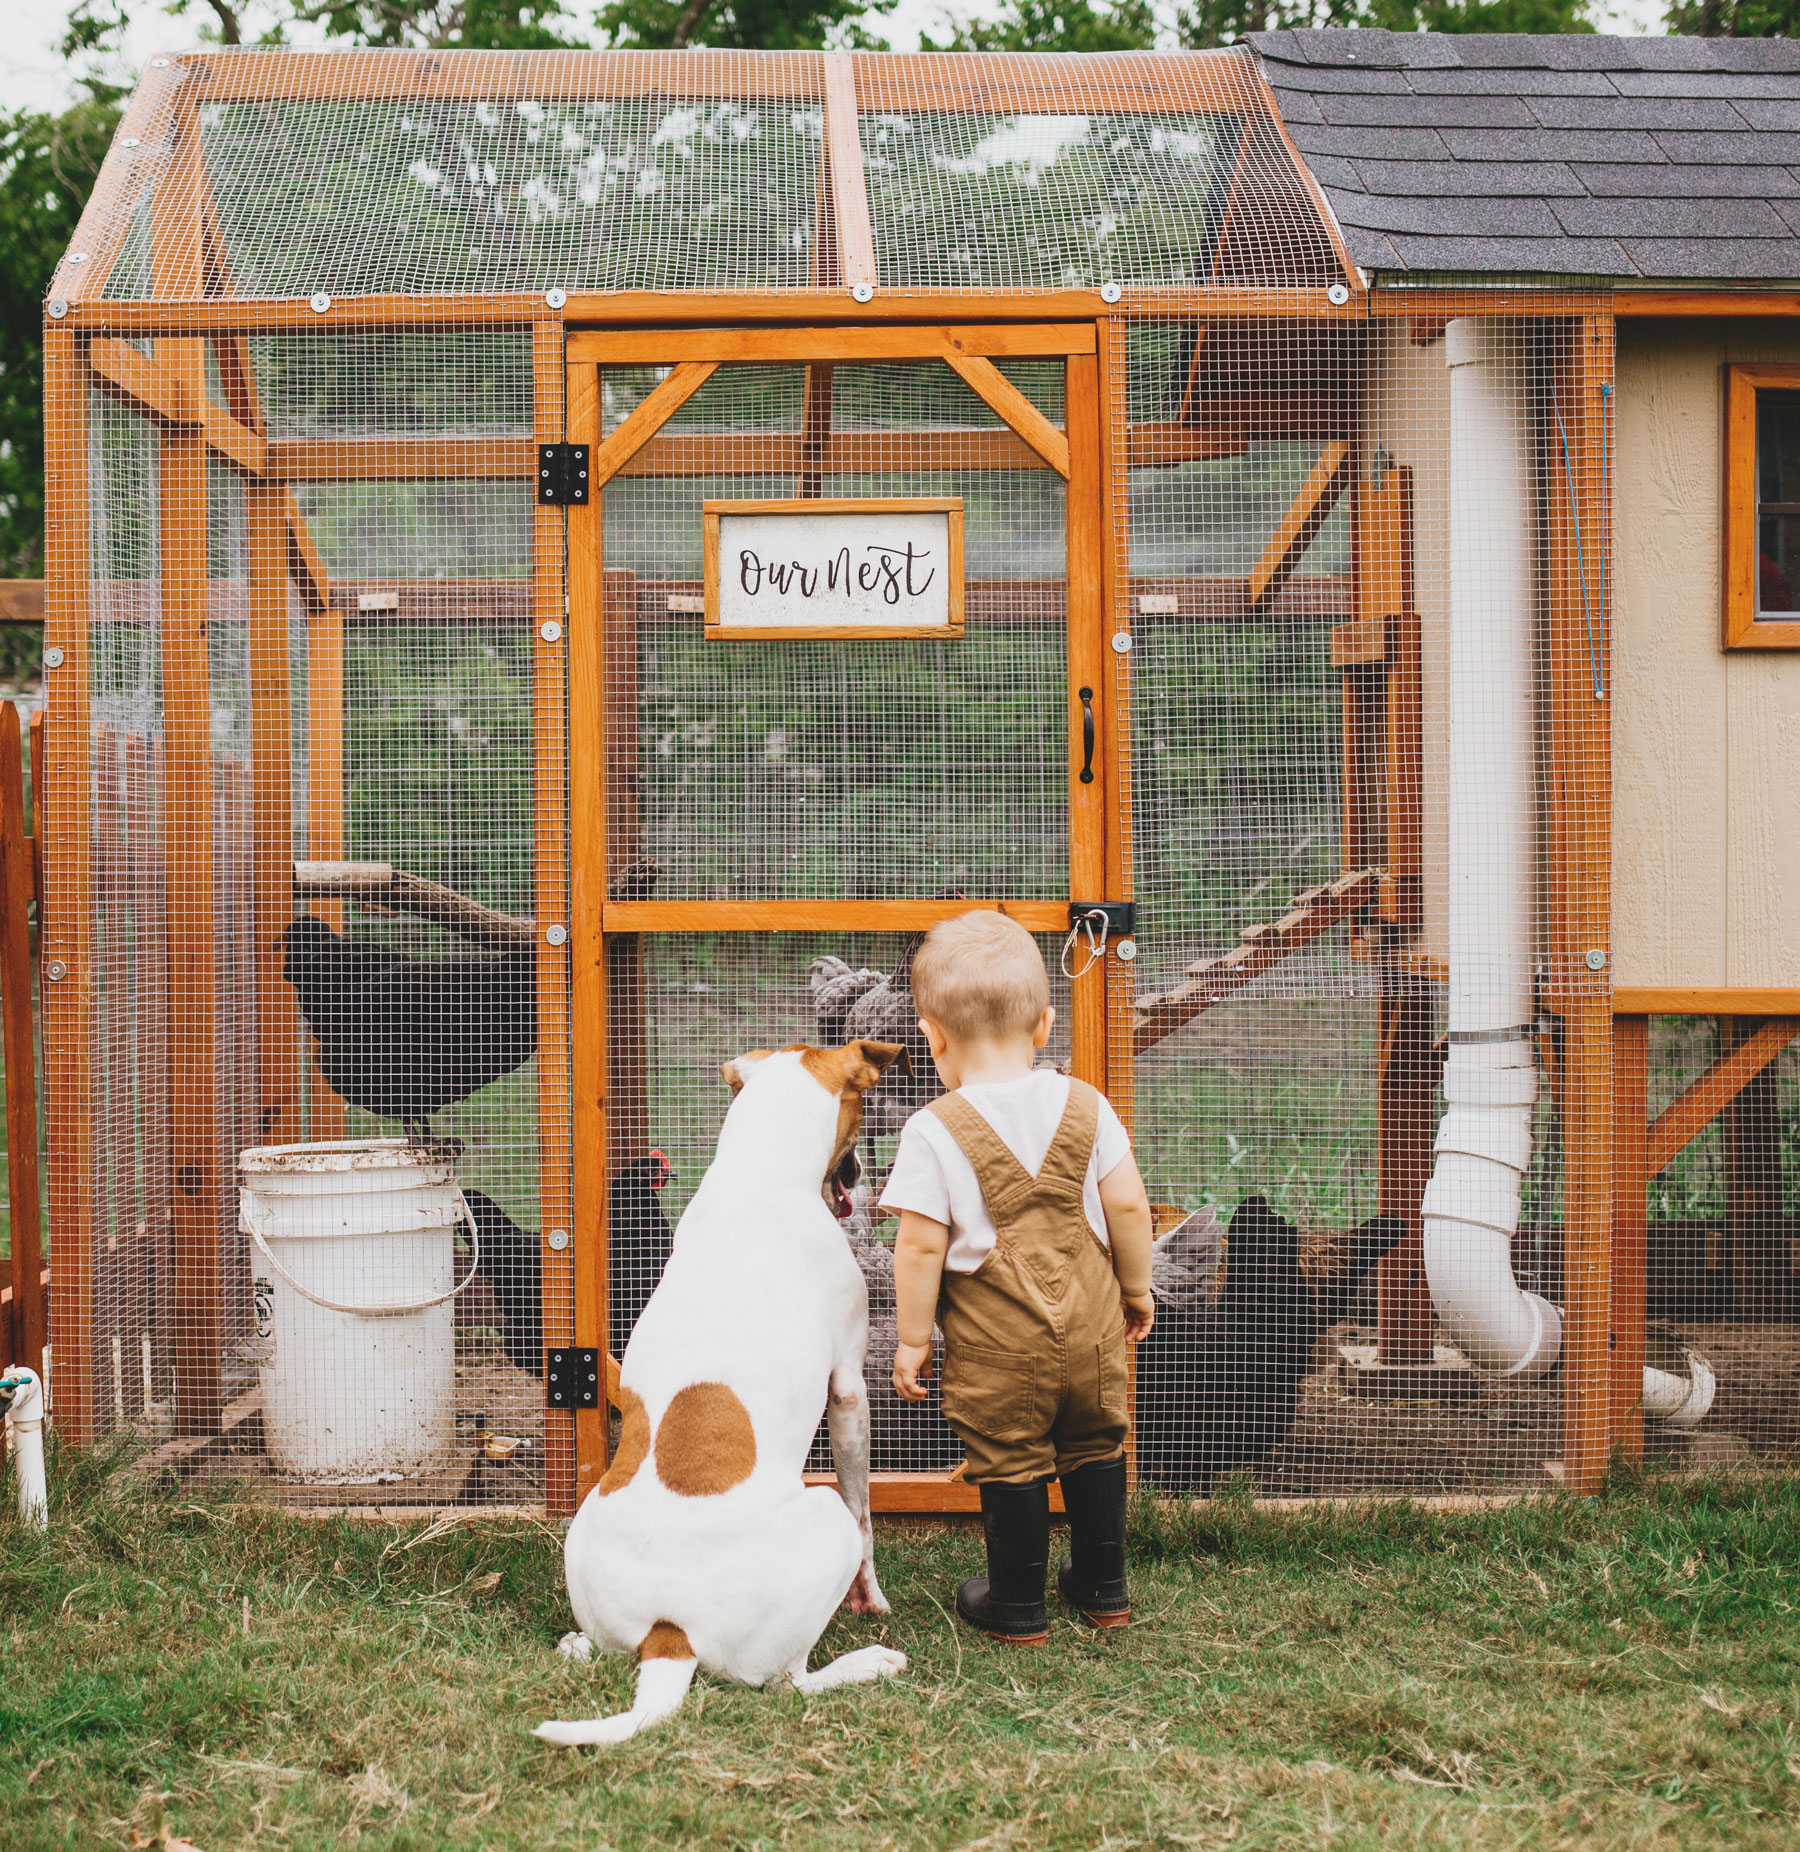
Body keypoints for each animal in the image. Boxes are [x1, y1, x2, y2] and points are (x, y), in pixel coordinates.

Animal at [525, 1044, 907, 1748]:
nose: (861, 1169)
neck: (759, 1175)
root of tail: (669, 1634)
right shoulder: (848, 1391)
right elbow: (866, 1507)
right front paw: (871, 1599)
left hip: (587, 1536)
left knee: (601, 1648)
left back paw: (574, 1646)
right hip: (821, 1519)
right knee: (790, 1683)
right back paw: (867, 1663)